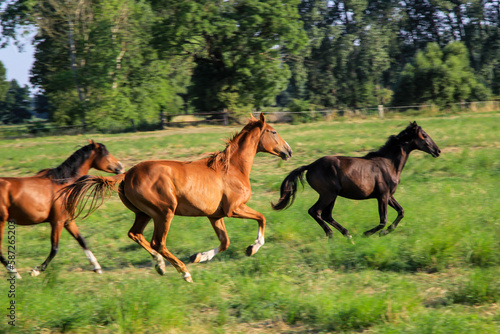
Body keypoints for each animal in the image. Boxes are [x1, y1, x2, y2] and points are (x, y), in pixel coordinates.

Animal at [0, 141, 124, 280]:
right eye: (106, 154)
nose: (120, 166)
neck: (63, 183)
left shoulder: (68, 221)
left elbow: (82, 241)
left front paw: (97, 267)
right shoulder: (57, 222)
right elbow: (55, 248)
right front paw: (36, 270)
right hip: (1, 221)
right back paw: (15, 273)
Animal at [61, 113, 292, 282]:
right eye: (273, 131)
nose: (288, 151)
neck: (232, 169)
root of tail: (127, 174)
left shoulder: (215, 216)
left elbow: (225, 242)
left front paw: (199, 256)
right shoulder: (234, 209)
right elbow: (262, 218)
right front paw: (252, 248)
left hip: (144, 214)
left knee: (135, 234)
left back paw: (160, 266)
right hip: (164, 213)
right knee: (158, 242)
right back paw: (184, 272)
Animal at [272, 121, 440, 241]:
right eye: (424, 135)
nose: (437, 151)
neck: (389, 164)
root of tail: (310, 166)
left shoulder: (389, 195)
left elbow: (401, 212)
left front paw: (385, 232)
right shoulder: (383, 196)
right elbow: (383, 220)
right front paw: (368, 233)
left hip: (332, 195)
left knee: (326, 215)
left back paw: (346, 234)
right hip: (328, 194)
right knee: (315, 211)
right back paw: (332, 234)